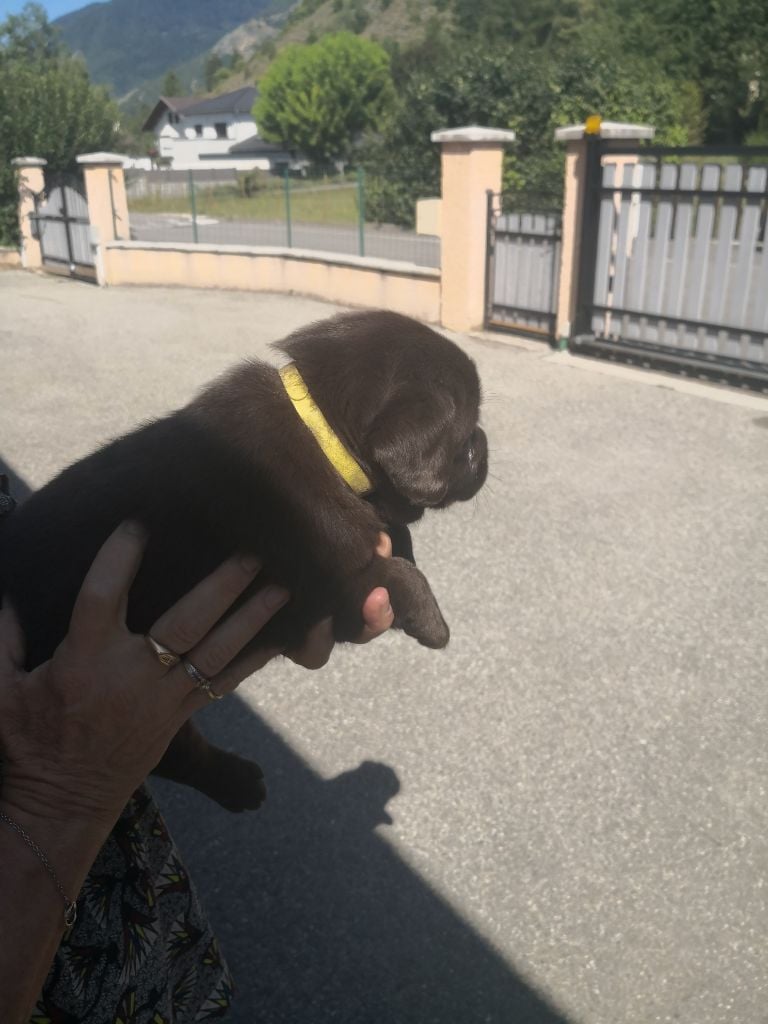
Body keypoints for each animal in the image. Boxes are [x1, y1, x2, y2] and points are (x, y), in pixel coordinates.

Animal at [0, 310, 488, 811]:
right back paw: (238, 784)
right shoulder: (327, 582)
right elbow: (399, 574)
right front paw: (434, 624)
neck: (323, 436)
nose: (484, 445)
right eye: (467, 438)